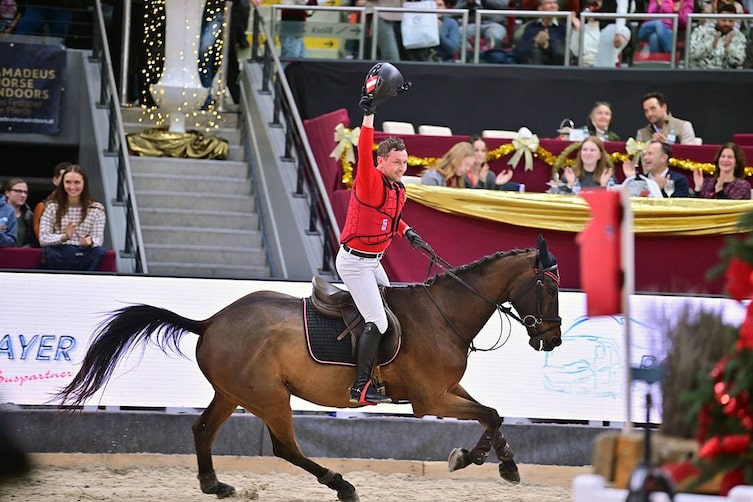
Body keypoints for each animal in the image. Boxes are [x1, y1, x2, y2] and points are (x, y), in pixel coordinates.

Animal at [55, 234, 563, 502]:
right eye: (549, 288)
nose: (552, 339)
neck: (443, 313)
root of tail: (213, 321)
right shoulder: (430, 399)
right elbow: (489, 413)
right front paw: (481, 461)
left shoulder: (447, 391)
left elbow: (492, 415)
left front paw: (493, 461)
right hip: (269, 396)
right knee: (285, 448)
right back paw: (341, 484)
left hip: (234, 392)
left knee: (203, 429)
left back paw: (215, 484)